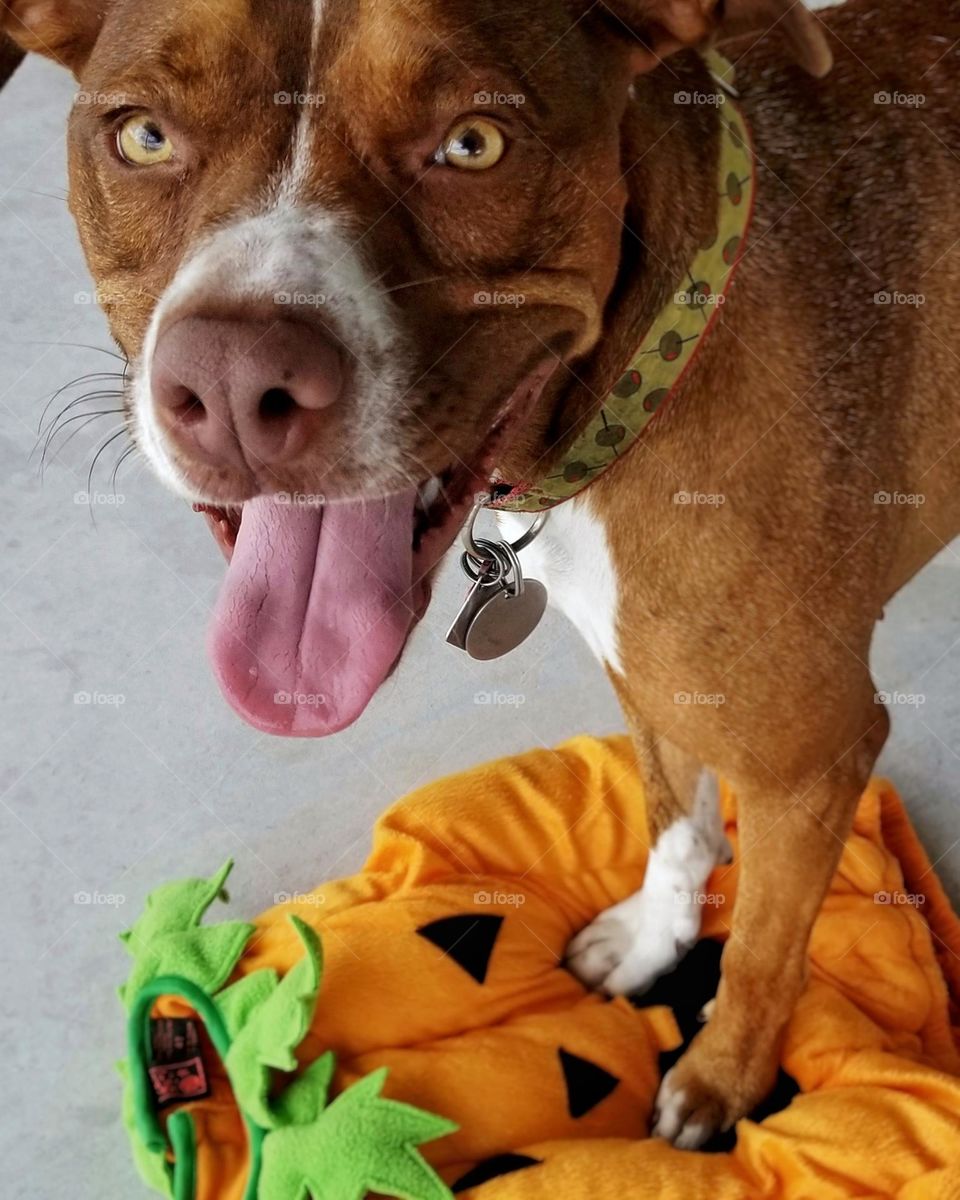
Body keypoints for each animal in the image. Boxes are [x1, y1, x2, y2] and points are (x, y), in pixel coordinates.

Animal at [3, 0, 955, 1147]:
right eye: (143, 137)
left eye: (473, 144)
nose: (234, 388)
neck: (637, 379)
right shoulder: (652, 677)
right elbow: (675, 824)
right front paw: (652, 942)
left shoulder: (809, 762)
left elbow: (766, 956)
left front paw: (721, 1083)